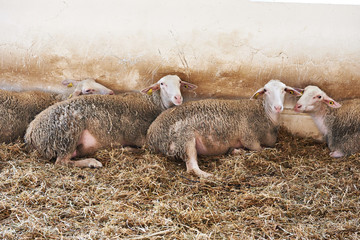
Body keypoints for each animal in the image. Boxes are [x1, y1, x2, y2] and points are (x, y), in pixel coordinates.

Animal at [25, 76, 197, 168]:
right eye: (162, 84)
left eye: (180, 82)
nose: (178, 98)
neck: (154, 103)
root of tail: (31, 131)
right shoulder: (144, 138)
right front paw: (127, 149)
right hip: (66, 137)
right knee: (62, 162)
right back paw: (92, 162)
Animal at [146, 79, 300, 177]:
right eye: (266, 91)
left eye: (284, 90)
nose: (278, 107)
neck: (265, 114)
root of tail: (151, 134)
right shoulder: (250, 139)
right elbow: (260, 150)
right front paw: (237, 151)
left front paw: (234, 150)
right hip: (184, 140)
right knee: (192, 168)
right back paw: (209, 176)